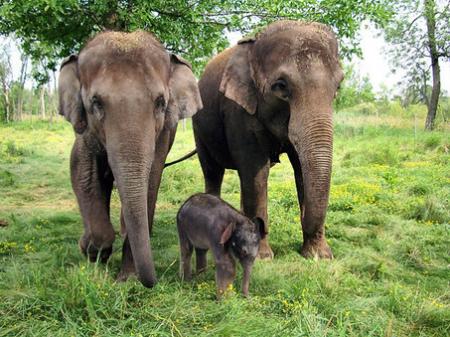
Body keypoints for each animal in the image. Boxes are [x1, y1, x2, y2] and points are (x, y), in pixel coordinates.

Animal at [59, 30, 202, 286]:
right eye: (95, 102)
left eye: (160, 102)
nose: (154, 280)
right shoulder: (84, 127)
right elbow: (83, 170)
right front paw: (93, 251)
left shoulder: (162, 133)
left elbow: (151, 179)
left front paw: (126, 279)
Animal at [192, 20, 342, 258]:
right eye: (280, 86)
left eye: (338, 87)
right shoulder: (237, 110)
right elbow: (257, 173)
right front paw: (262, 257)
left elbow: (300, 169)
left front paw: (319, 256)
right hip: (199, 129)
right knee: (213, 172)